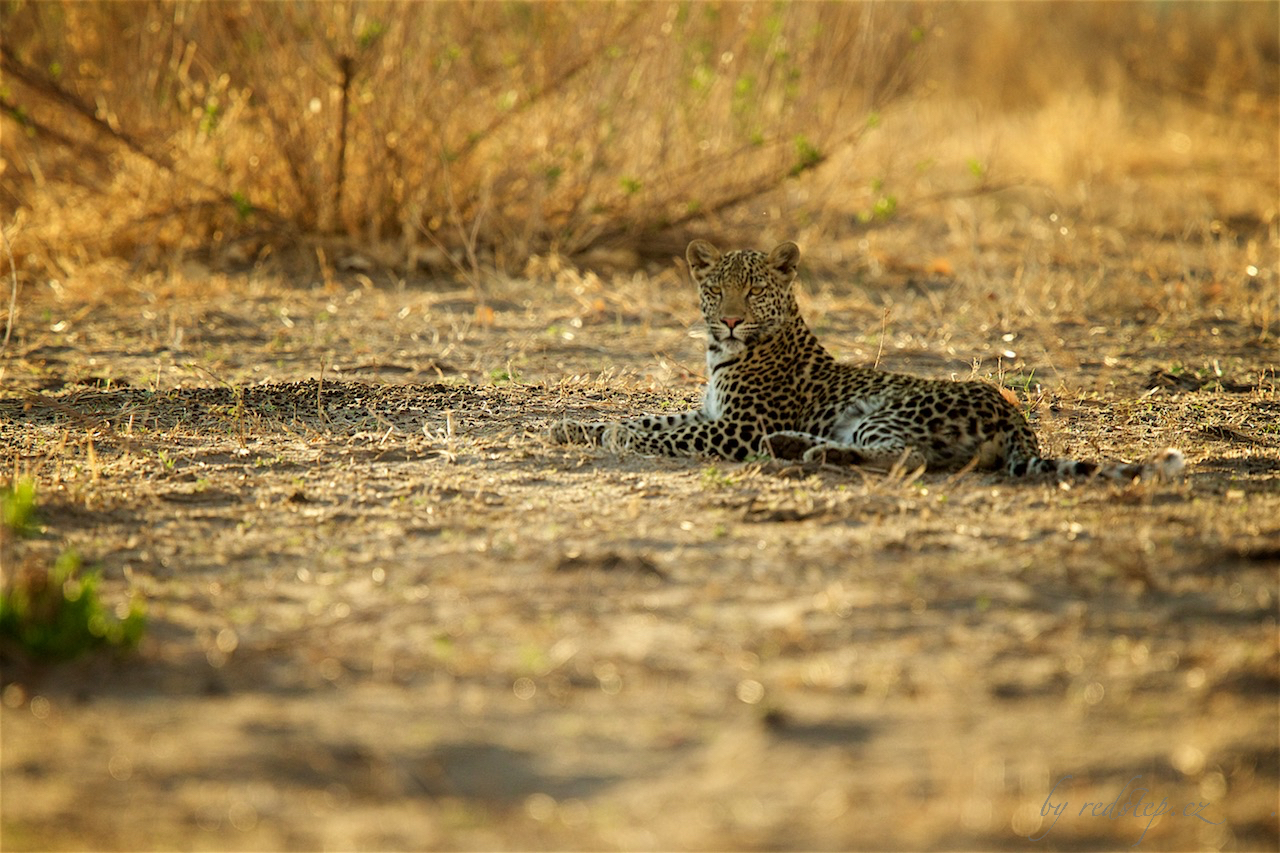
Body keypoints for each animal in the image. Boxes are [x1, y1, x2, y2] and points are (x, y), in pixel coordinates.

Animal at [545, 239, 1182, 481]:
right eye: (717, 289)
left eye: (753, 291)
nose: (728, 319)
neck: (722, 353)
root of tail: (1016, 417)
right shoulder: (714, 414)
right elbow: (658, 415)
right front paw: (572, 427)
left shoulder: (737, 427)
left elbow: (662, 430)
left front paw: (621, 437)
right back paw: (795, 448)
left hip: (887, 410)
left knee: (910, 459)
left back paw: (814, 453)